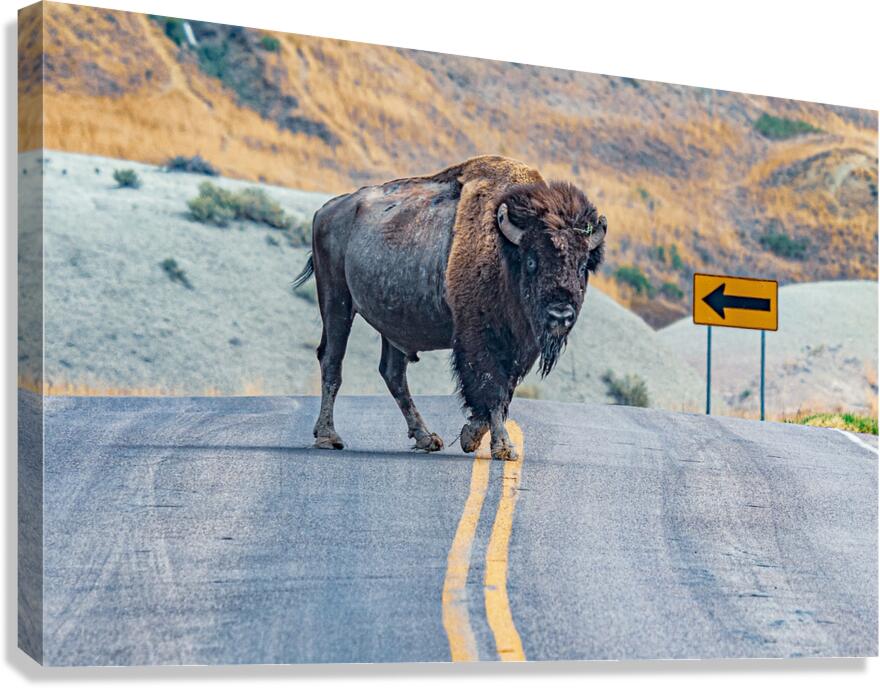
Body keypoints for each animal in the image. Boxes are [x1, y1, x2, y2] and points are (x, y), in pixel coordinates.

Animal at [292, 156, 606, 460]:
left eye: (582, 266)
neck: (504, 251)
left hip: (392, 324)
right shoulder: (479, 338)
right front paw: (503, 447)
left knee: (393, 373)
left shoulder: (521, 348)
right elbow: (491, 389)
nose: (560, 314)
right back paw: (328, 437)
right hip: (336, 301)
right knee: (332, 360)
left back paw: (426, 438)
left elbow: (504, 391)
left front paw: (471, 436)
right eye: (532, 261)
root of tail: (327, 210)